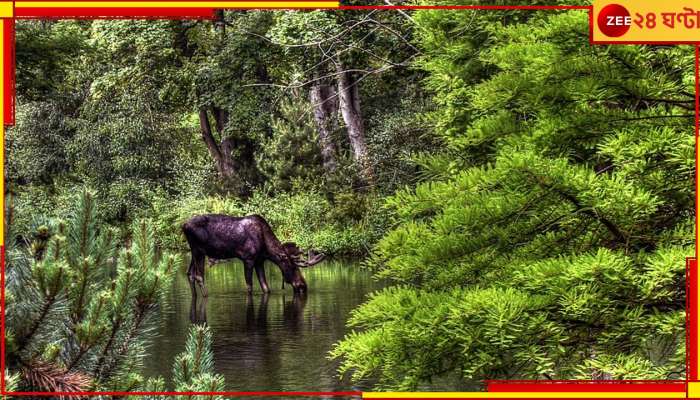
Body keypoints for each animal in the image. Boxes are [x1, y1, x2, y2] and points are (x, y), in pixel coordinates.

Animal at [179, 216, 324, 296]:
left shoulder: (259, 261)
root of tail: (183, 225)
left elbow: (266, 288)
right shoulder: (248, 259)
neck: (266, 248)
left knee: (189, 273)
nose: (303, 286)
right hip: (198, 250)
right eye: (293, 267)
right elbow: (249, 286)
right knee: (199, 276)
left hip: (194, 251)